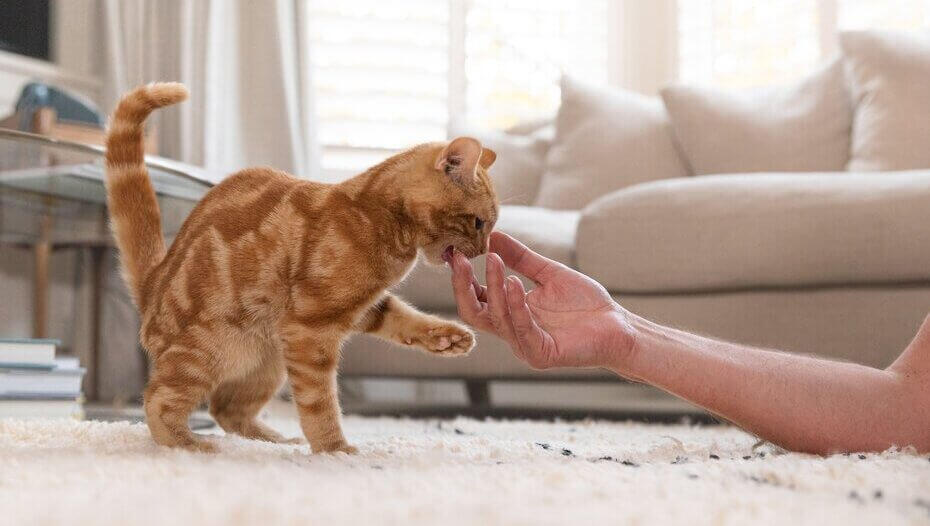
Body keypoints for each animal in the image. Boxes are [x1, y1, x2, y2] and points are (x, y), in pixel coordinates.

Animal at [104, 83, 496, 454]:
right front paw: (334, 449)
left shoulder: (360, 308)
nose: (483, 250)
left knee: (225, 408)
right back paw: (187, 443)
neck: (374, 214)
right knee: (158, 399)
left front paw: (447, 337)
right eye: (479, 223)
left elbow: (404, 318)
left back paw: (271, 440)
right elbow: (319, 403)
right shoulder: (311, 328)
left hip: (268, 361)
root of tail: (153, 283)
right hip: (212, 347)